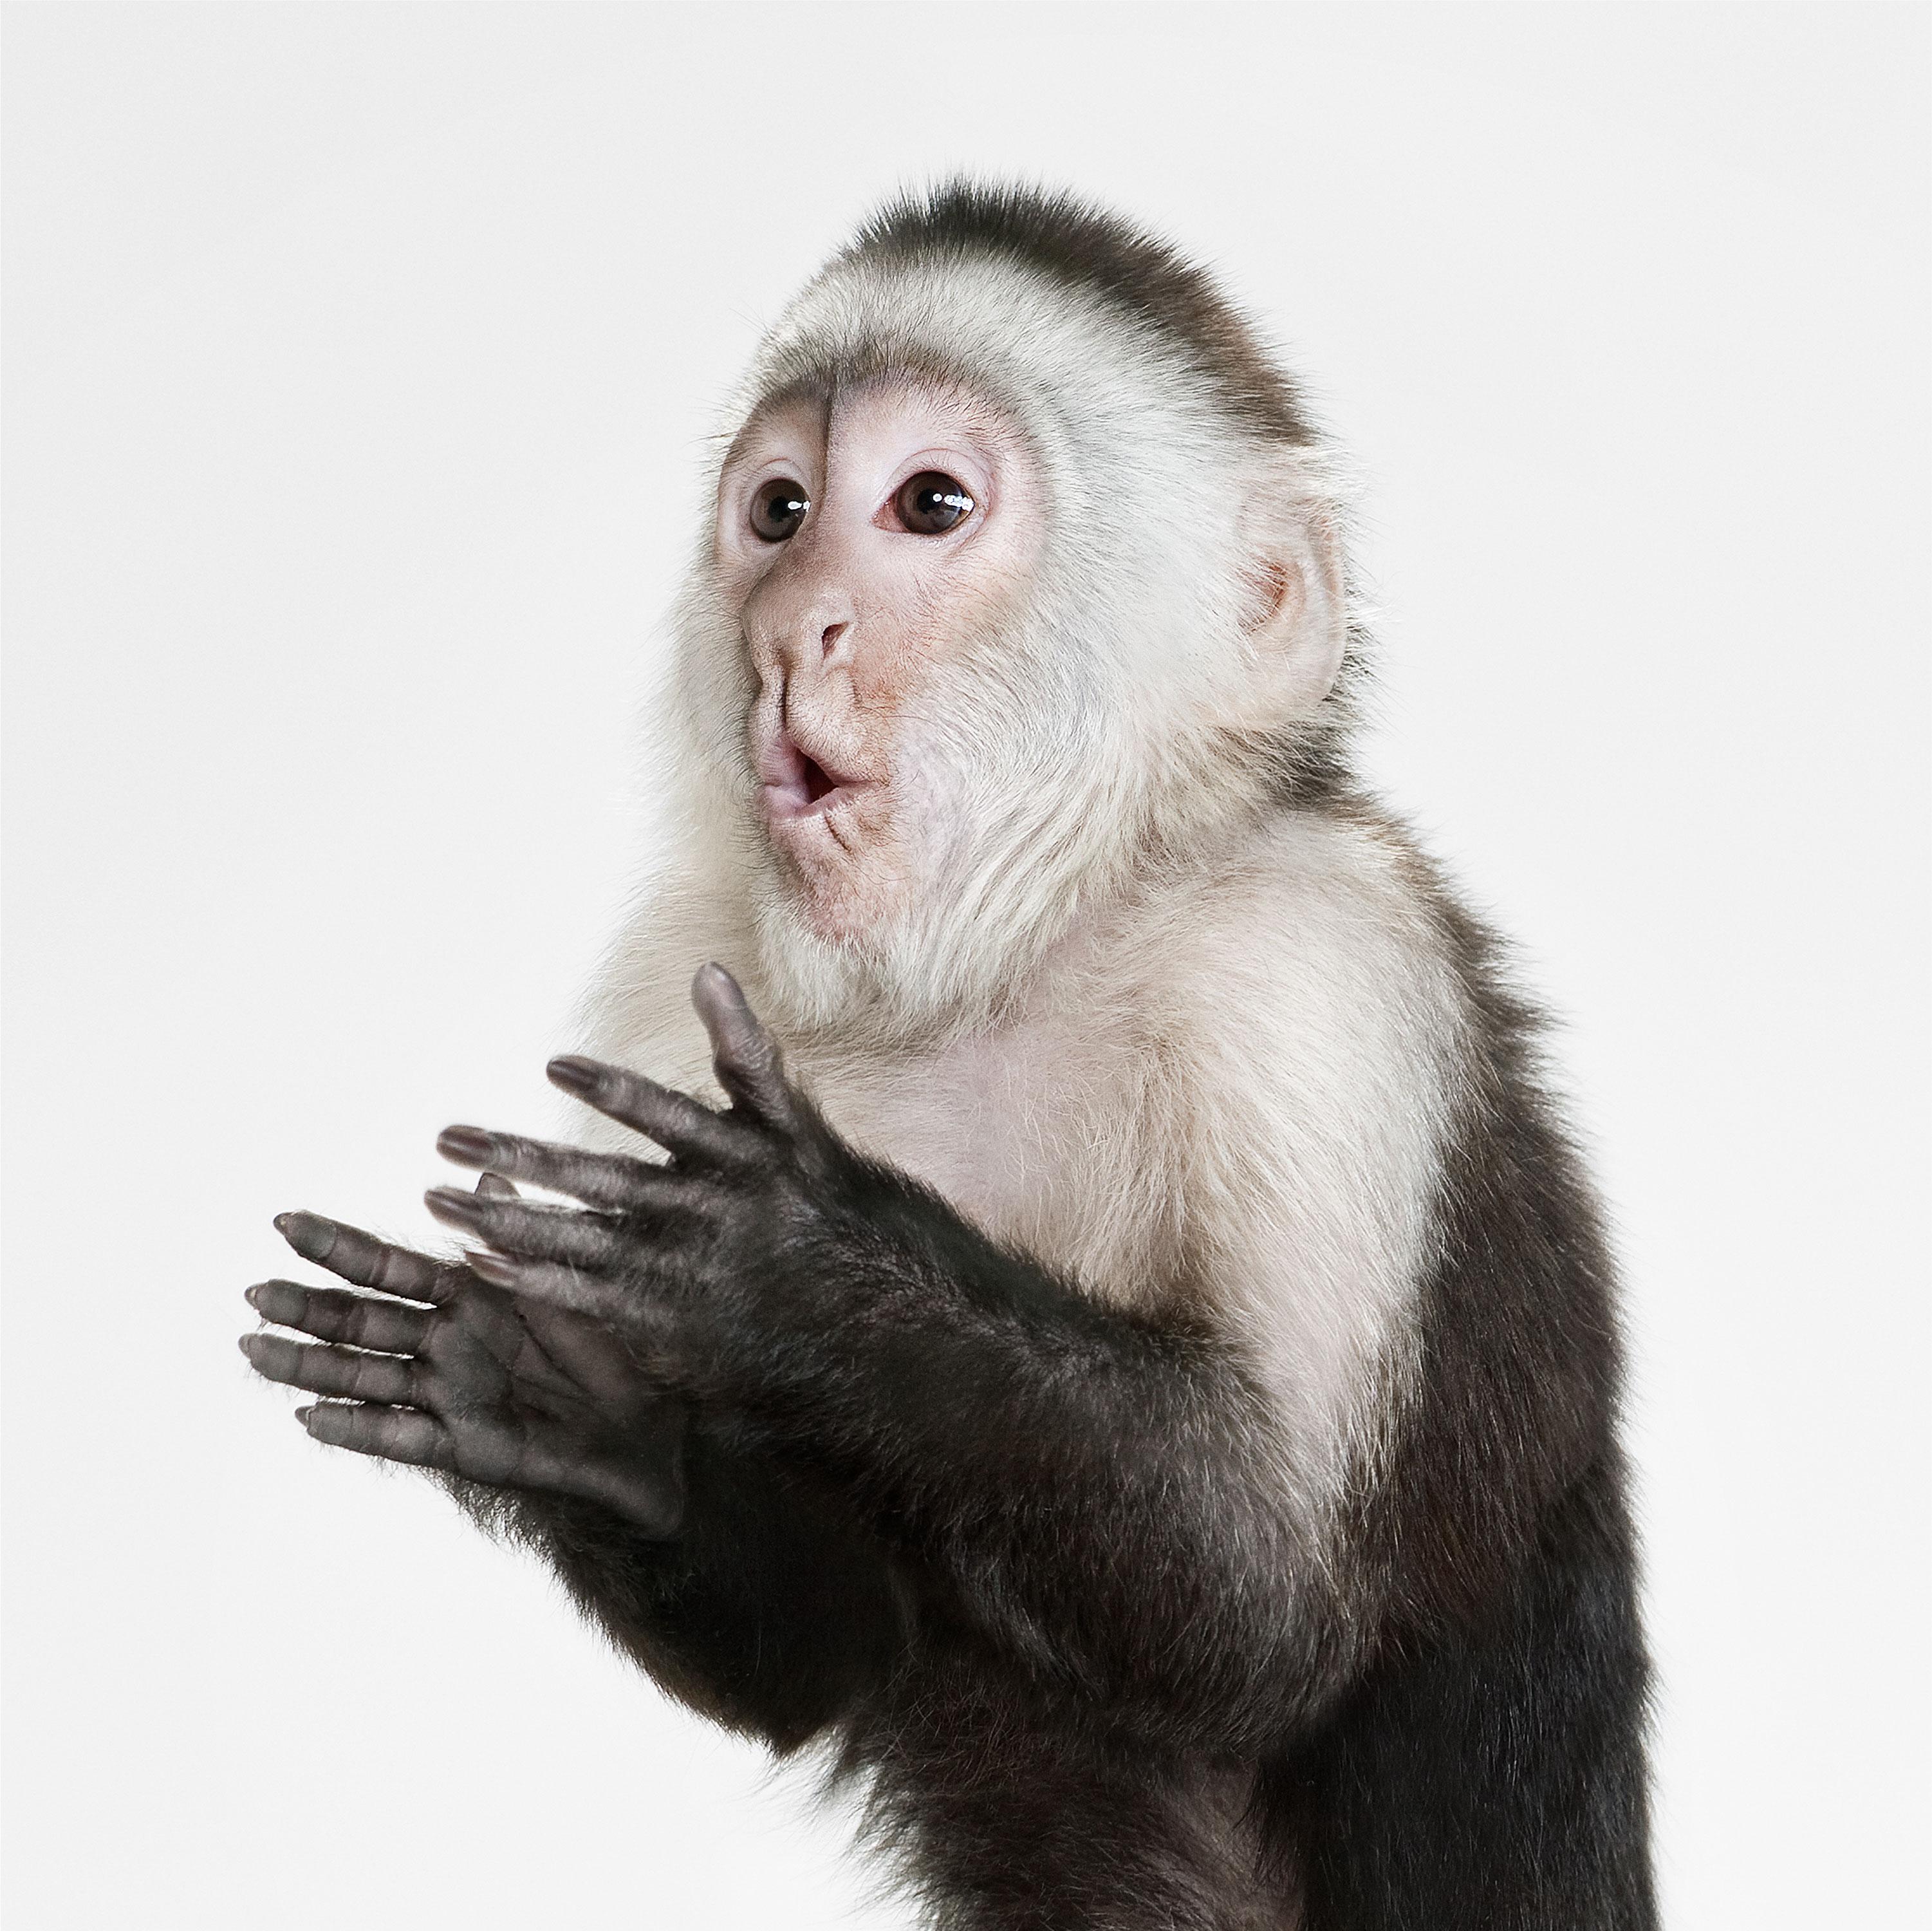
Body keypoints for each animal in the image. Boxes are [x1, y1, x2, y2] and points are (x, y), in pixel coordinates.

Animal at [242, 183, 1657, 1929]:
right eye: (778, 510)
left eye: (927, 505)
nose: (794, 626)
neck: (1001, 965)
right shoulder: (667, 989)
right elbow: (827, 1650)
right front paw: (553, 1400)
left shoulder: (1312, 970)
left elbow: (1268, 1596)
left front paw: (803, 1264)